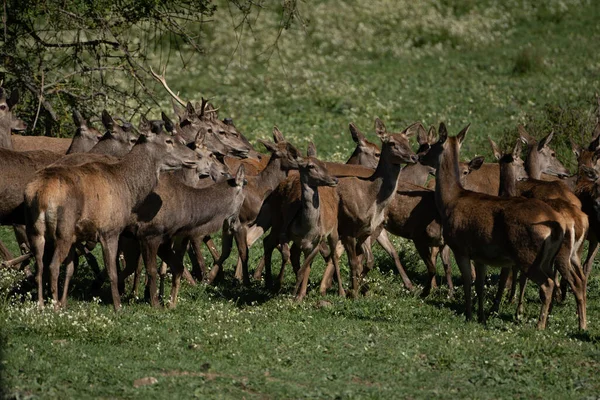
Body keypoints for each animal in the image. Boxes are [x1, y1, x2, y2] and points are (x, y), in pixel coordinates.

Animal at [24, 123, 200, 310]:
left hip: (34, 230)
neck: (128, 188)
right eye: (169, 140)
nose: (195, 156)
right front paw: (118, 306)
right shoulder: (110, 230)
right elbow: (113, 272)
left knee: (39, 267)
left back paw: (41, 304)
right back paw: (55, 306)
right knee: (53, 266)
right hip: (63, 230)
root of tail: (41, 194)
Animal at [418, 123, 568, 330]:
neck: (450, 200)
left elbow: (467, 282)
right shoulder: (480, 255)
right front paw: (481, 316)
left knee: (547, 284)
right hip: (546, 259)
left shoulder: (460, 247)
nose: (419, 156)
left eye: (432, 145)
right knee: (553, 280)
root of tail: (556, 226)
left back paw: (539, 325)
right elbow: (479, 286)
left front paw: (469, 315)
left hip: (528, 254)